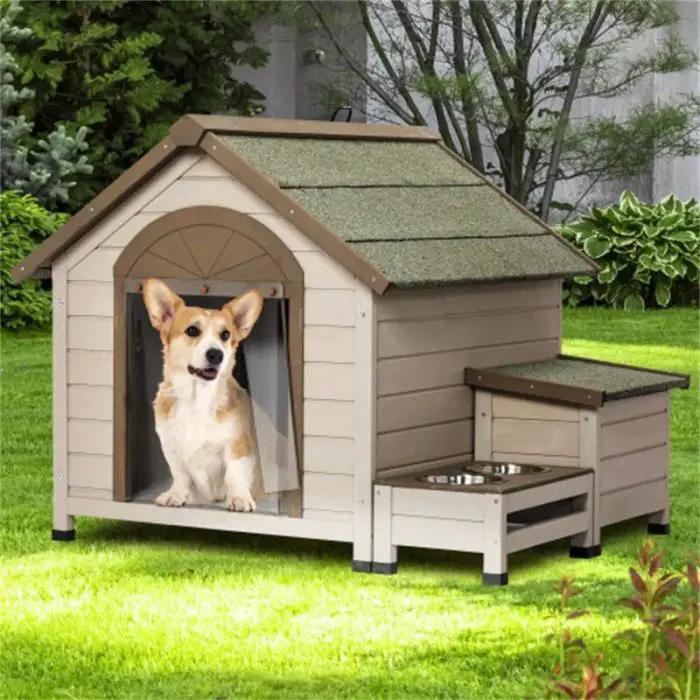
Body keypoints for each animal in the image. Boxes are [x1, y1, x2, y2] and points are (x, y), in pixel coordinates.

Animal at [142, 276, 266, 512]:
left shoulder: (238, 444)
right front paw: (176, 495)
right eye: (192, 331)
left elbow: (234, 473)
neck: (196, 398)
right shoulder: (171, 446)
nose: (216, 354)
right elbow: (180, 474)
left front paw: (239, 498)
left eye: (225, 335)